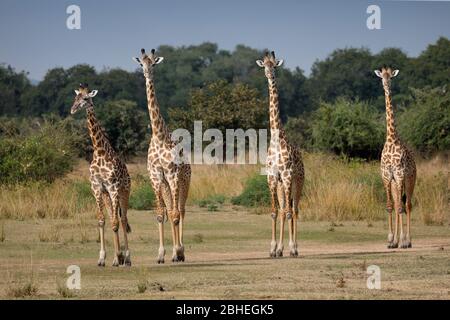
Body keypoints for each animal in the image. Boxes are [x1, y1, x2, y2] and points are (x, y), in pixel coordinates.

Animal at [69, 84, 131, 266]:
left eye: (86, 98)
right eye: (75, 97)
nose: (72, 109)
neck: (100, 151)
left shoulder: (113, 187)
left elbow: (116, 222)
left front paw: (119, 257)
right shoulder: (97, 188)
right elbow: (102, 220)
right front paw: (103, 258)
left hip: (124, 192)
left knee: (123, 219)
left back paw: (127, 258)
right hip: (107, 195)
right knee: (112, 217)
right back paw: (117, 257)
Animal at [133, 47, 191, 262]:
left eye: (154, 63)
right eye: (141, 63)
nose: (147, 73)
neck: (158, 136)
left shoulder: (173, 174)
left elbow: (175, 214)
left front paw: (178, 252)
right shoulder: (156, 175)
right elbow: (160, 213)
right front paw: (161, 254)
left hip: (184, 181)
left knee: (180, 210)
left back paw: (180, 251)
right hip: (166, 184)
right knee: (170, 208)